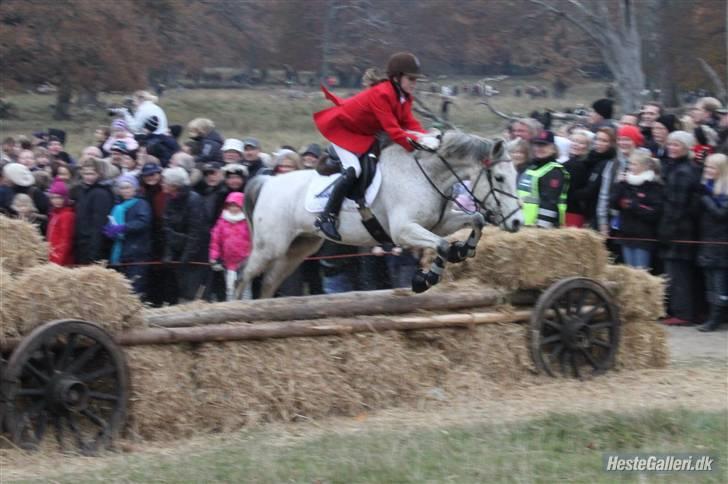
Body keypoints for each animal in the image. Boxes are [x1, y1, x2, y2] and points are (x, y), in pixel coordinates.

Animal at [239, 130, 524, 296]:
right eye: (499, 178)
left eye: (515, 175)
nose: (517, 221)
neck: (428, 175)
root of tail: (267, 181)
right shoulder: (403, 230)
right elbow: (443, 245)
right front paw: (427, 278)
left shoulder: (440, 223)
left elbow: (475, 220)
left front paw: (461, 251)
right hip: (271, 245)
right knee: (244, 273)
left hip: (300, 246)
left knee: (269, 280)